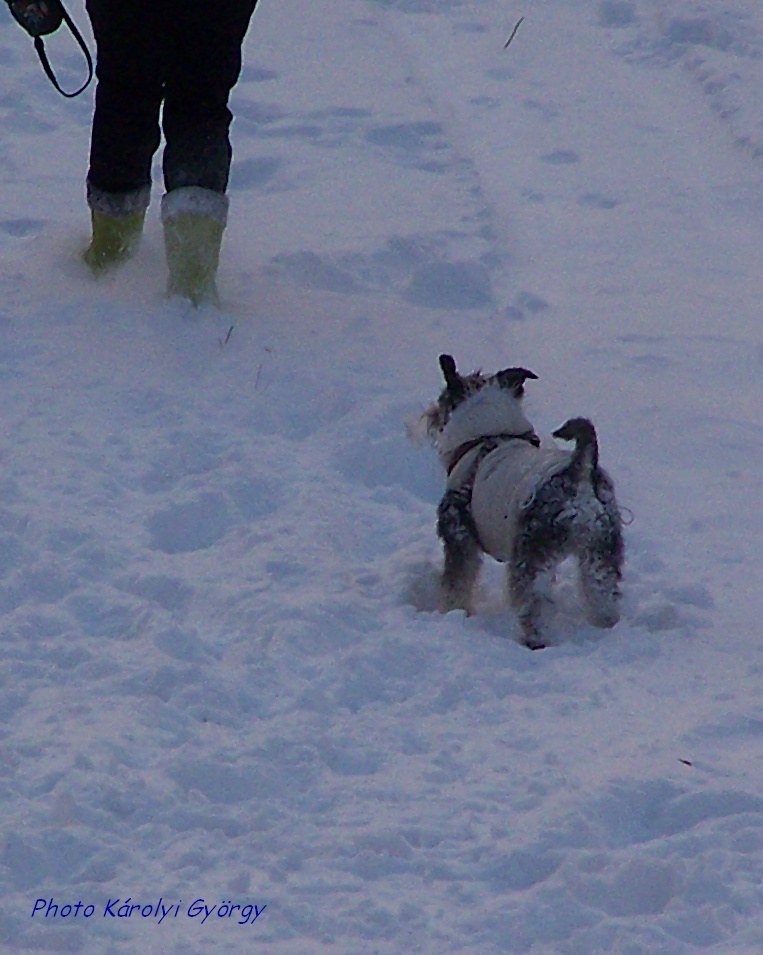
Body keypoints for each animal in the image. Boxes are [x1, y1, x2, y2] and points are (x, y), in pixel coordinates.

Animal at [420, 356, 624, 648]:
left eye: (443, 400)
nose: (430, 416)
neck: (484, 436)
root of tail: (580, 471)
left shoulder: (459, 539)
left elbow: (456, 585)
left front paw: (452, 612)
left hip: (532, 556)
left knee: (533, 604)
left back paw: (534, 640)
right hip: (600, 552)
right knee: (603, 597)